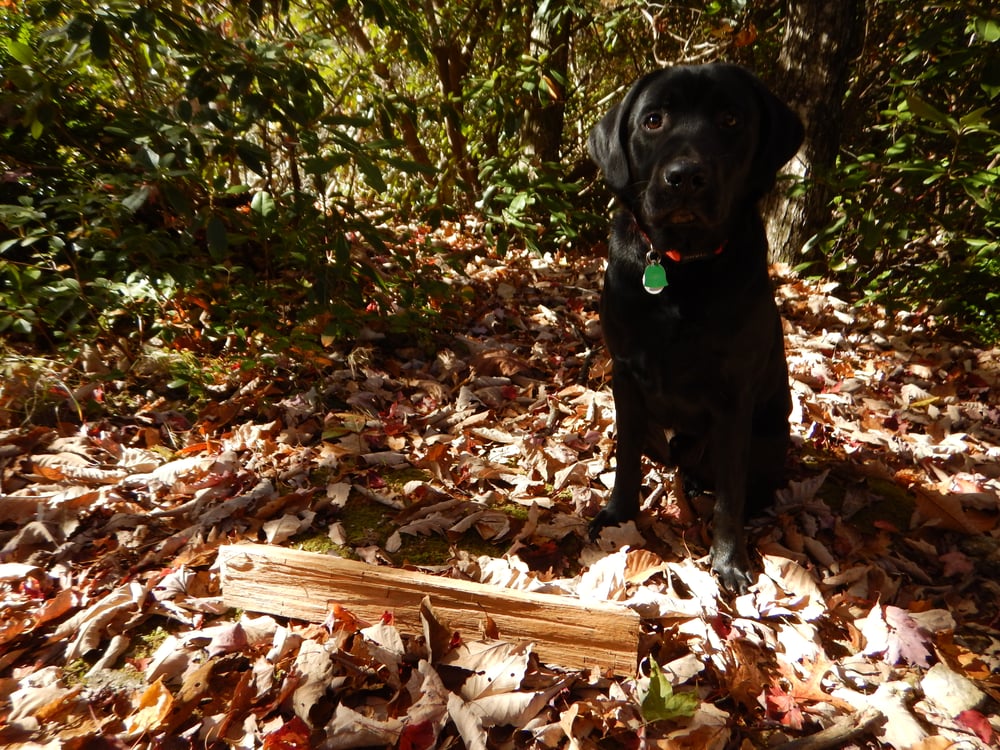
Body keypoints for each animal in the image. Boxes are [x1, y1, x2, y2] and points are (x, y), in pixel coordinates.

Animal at [588, 63, 800, 592]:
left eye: (730, 119)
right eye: (653, 120)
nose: (685, 177)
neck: (680, 268)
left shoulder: (734, 400)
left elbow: (729, 496)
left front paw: (729, 561)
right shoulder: (625, 376)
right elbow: (626, 460)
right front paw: (618, 516)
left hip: (770, 434)